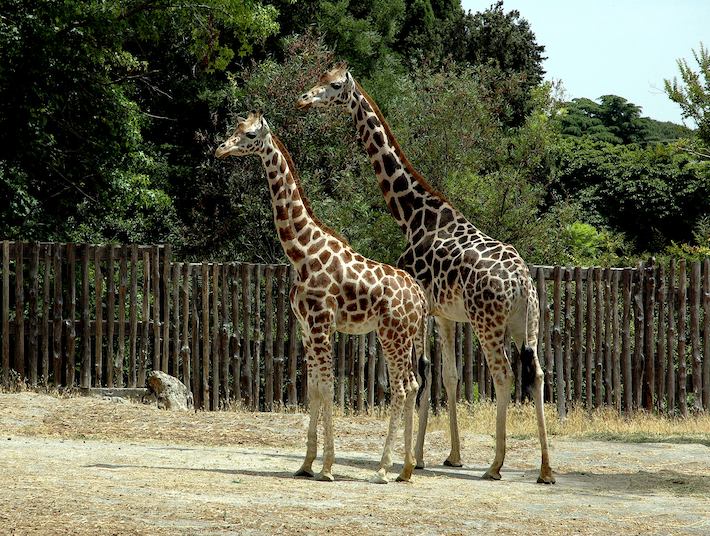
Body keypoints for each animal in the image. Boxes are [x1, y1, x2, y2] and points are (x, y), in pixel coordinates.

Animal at [216, 111, 428, 484]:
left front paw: (327, 467)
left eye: (251, 134)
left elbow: (328, 387)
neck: (300, 253)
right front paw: (306, 464)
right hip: (403, 337)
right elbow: (313, 388)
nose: (220, 149)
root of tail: (419, 296)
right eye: (236, 129)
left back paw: (383, 469)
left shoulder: (320, 323)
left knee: (402, 388)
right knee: (413, 384)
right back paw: (405, 469)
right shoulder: (304, 326)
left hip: (392, 334)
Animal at [298, 65, 560, 484]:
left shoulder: (427, 308)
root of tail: (522, 282)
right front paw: (450, 455)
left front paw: (416, 459)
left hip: (488, 323)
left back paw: (495, 465)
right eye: (321, 76)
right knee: (535, 373)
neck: (413, 216)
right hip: (526, 324)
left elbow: (423, 372)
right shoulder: (446, 315)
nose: (305, 99)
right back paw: (546, 469)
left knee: (503, 375)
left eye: (335, 85)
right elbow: (448, 377)